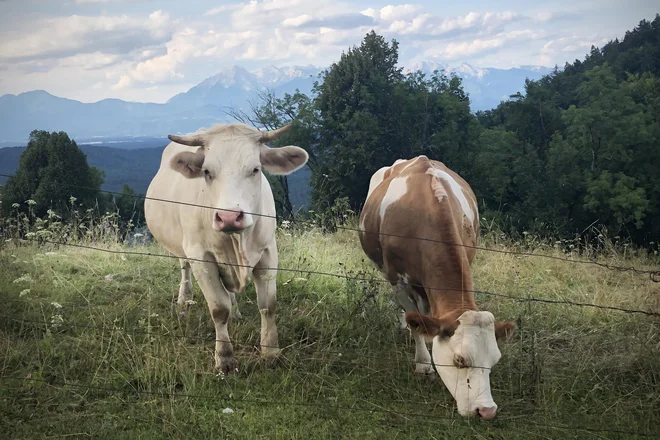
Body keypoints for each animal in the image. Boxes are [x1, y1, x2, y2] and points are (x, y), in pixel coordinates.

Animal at [143, 122, 308, 372]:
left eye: (255, 169)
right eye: (207, 172)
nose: (229, 217)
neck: (237, 243)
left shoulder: (268, 252)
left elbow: (268, 305)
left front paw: (271, 352)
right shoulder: (200, 257)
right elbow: (219, 310)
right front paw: (224, 358)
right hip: (182, 244)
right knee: (184, 266)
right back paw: (185, 297)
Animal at [358, 156, 520, 420]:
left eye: (494, 361)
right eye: (460, 360)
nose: (486, 410)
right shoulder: (397, 278)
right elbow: (415, 319)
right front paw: (424, 363)